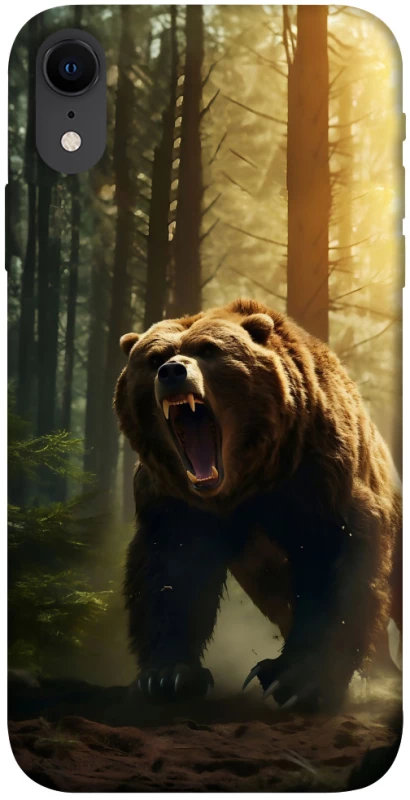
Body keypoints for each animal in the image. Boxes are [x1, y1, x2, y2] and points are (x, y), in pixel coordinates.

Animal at [114, 298, 401, 710]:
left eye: (208, 350)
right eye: (155, 358)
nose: (172, 372)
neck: (243, 484)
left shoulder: (316, 471)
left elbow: (333, 560)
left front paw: (298, 678)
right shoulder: (177, 502)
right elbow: (170, 572)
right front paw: (168, 676)